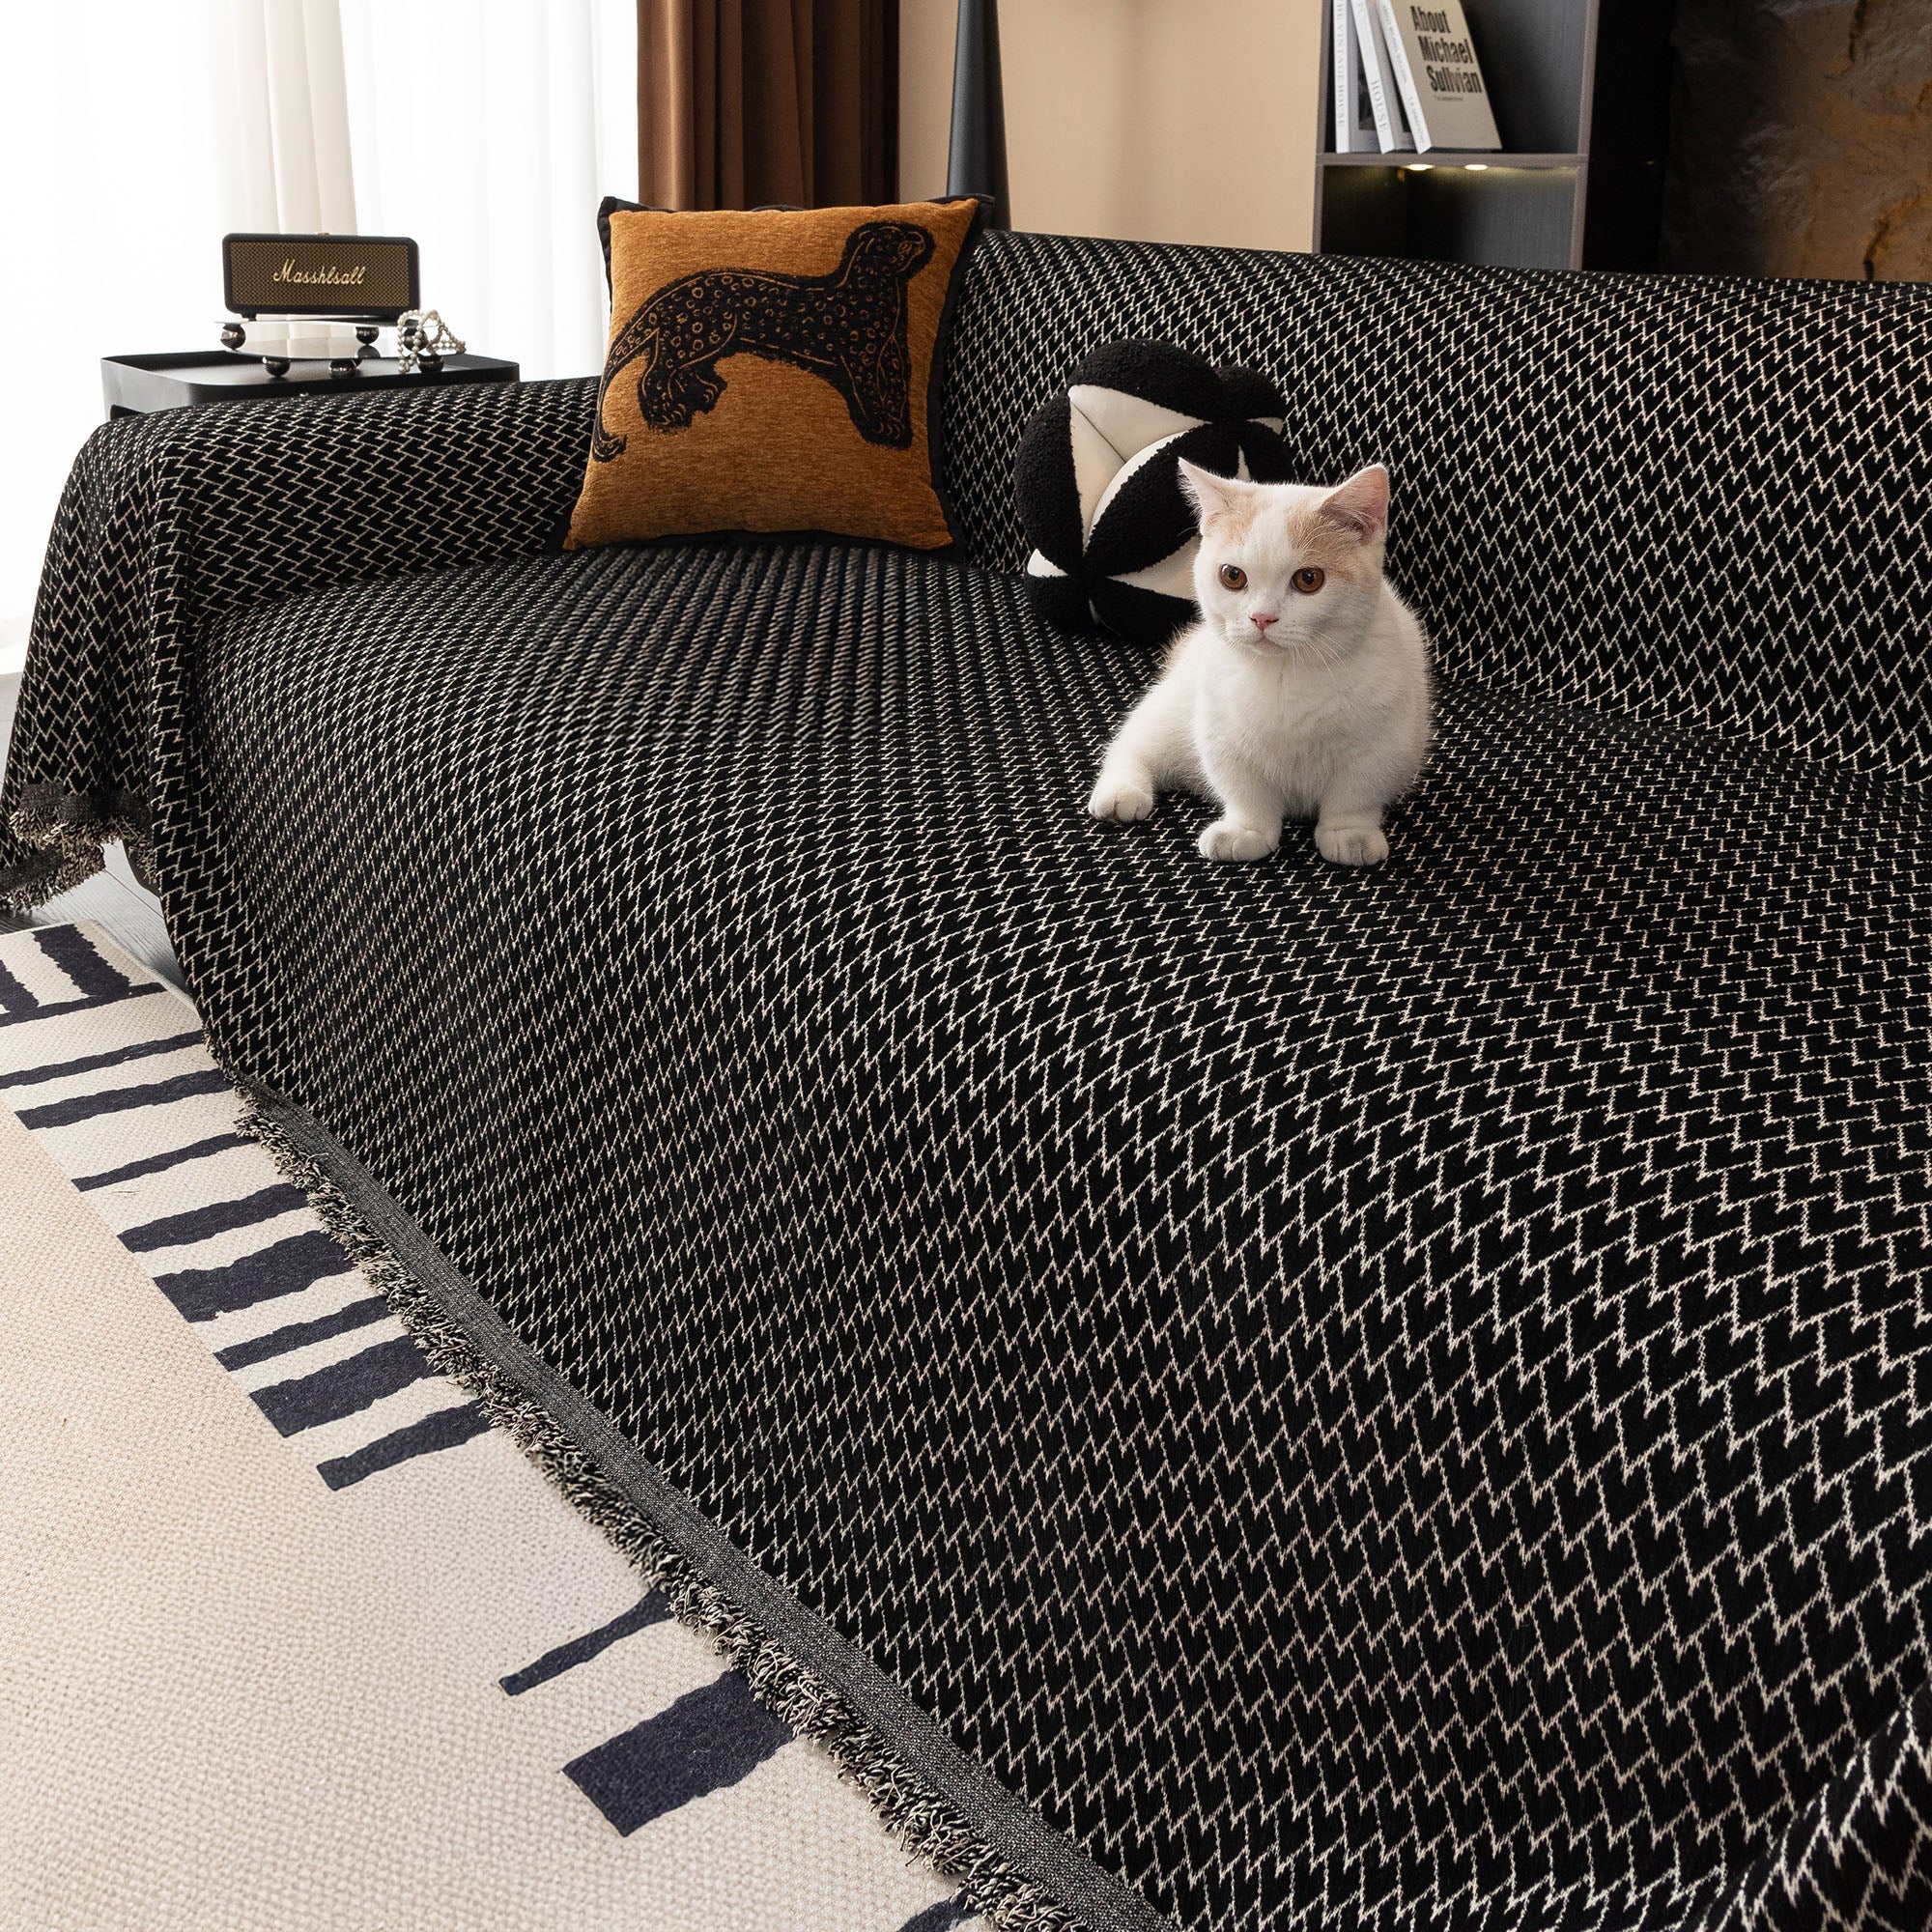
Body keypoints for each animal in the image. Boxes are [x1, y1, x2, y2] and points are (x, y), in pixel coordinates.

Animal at [590, 220, 937, 462]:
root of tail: (671, 295)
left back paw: (704, 390)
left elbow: (897, 389)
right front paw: (882, 425)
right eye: (896, 236)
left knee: (678, 369)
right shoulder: (861, 354)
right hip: (699, 335)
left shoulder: (891, 351)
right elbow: (871, 393)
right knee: (653, 373)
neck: (880, 301)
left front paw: (897, 423)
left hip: (708, 337)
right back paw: (666, 412)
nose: (921, 238)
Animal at [1087, 459, 1431, 867]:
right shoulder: (1221, 733)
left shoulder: (1382, 744)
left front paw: (1350, 833)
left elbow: (1356, 792)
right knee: (1132, 743)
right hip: (1173, 707)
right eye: (1232, 576)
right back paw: (1120, 792)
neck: (1285, 673)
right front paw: (1246, 830)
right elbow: (1245, 789)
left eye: (1309, 579)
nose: (1262, 617)